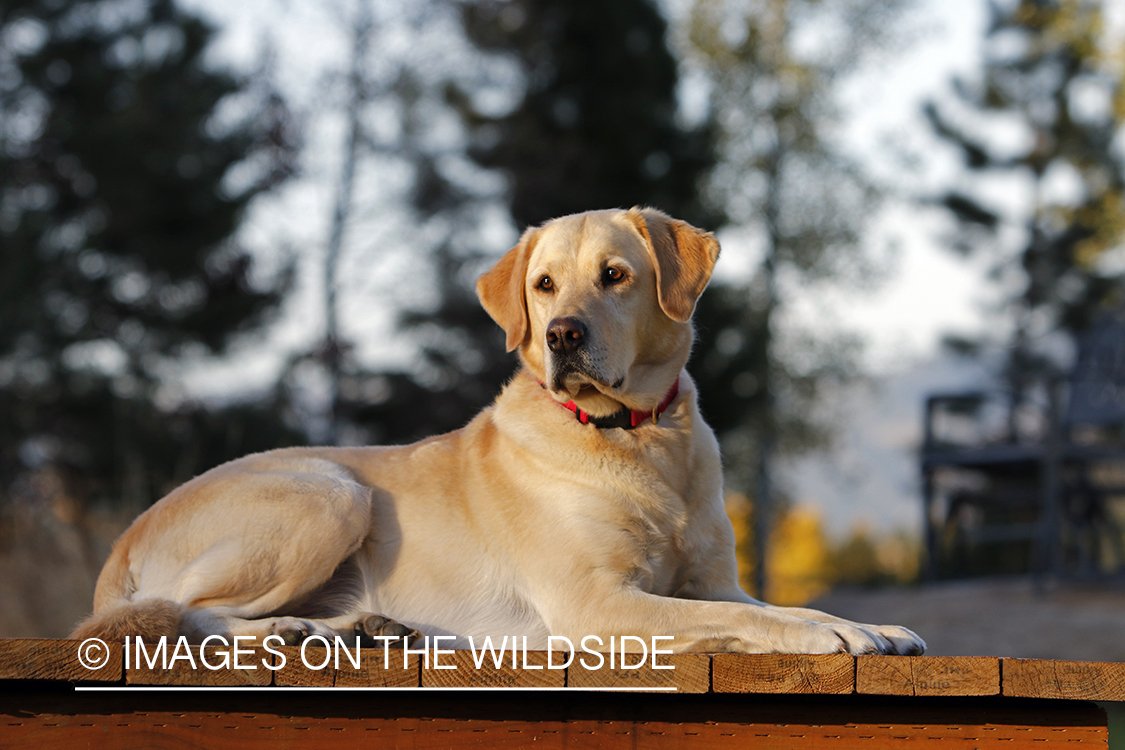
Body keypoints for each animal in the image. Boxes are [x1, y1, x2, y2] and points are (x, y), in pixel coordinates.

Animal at [74, 208, 927, 652]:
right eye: (543, 285)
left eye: (614, 276)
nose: (561, 335)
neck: (637, 439)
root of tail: (122, 541)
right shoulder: (595, 602)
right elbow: (741, 619)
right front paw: (832, 638)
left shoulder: (714, 580)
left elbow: (780, 605)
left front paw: (872, 625)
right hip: (330, 493)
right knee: (179, 613)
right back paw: (288, 627)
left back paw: (370, 624)